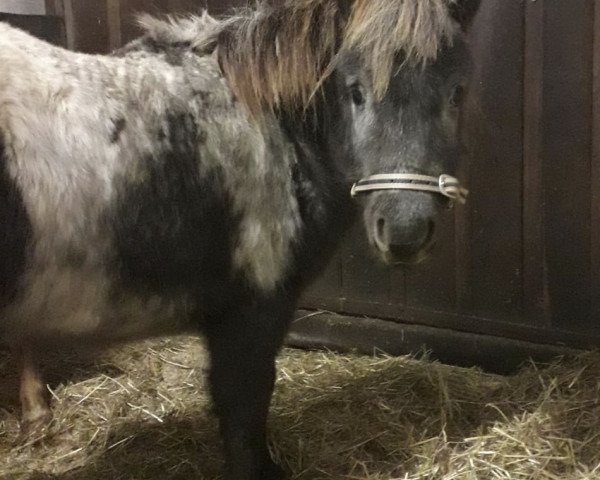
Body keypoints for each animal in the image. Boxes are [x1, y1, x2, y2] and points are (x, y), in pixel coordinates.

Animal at [0, 1, 480, 478]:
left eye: (457, 92)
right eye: (355, 91)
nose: (405, 231)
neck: (269, 128)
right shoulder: (252, 313)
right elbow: (245, 411)